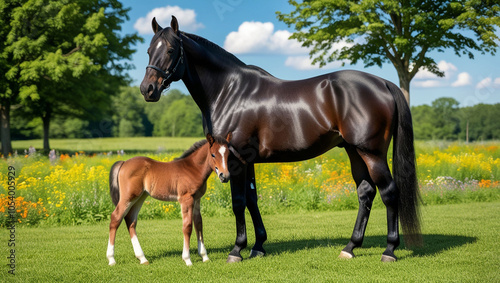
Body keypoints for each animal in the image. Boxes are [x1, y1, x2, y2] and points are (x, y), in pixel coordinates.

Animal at [139, 16, 420, 264]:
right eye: (149, 50)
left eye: (171, 49)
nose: (147, 89)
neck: (229, 91)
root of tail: (383, 83)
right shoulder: (247, 160)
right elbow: (252, 201)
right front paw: (258, 246)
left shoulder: (235, 160)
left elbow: (238, 203)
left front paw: (237, 250)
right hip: (354, 150)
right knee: (365, 192)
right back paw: (350, 247)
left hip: (372, 153)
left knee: (389, 192)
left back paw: (389, 250)